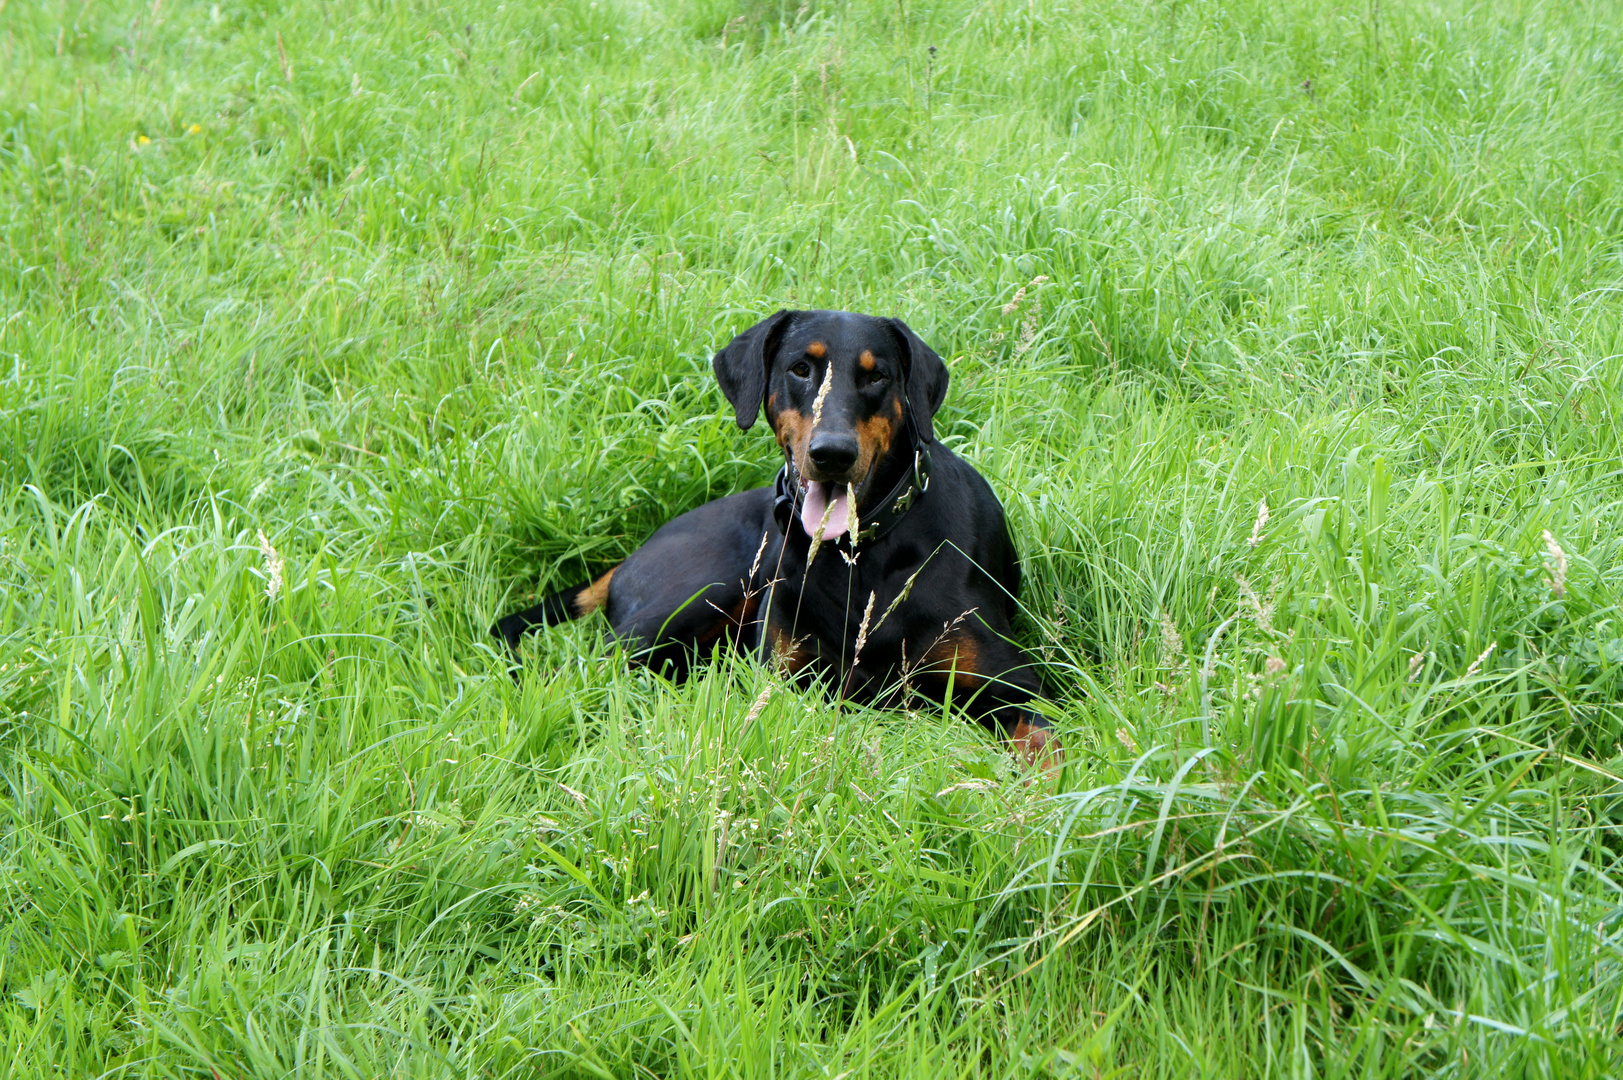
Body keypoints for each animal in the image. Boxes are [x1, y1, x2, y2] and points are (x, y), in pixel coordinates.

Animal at [486, 310, 1058, 766]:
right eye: (801, 368)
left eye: (877, 376)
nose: (833, 453)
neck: (859, 557)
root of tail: (628, 558)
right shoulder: (784, 683)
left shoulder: (1017, 688)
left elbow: (1044, 748)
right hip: (697, 597)